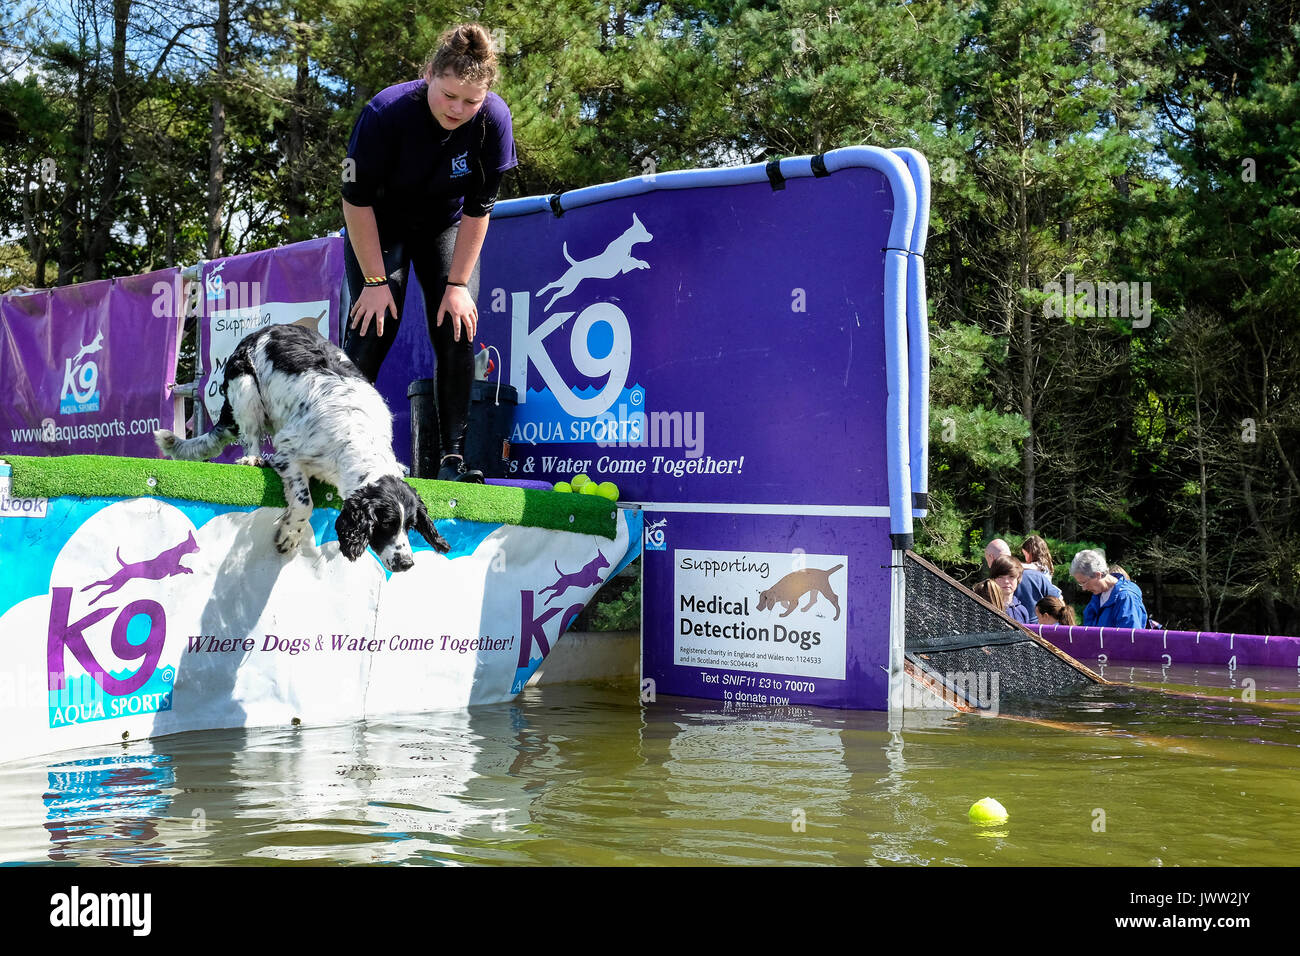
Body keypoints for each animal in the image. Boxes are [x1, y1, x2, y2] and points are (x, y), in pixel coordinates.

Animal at [156, 325, 452, 572]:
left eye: (410, 525)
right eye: (386, 523)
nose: (406, 563)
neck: (359, 438)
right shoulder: (288, 453)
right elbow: (303, 502)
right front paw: (289, 535)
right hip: (245, 385)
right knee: (250, 435)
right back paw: (253, 458)